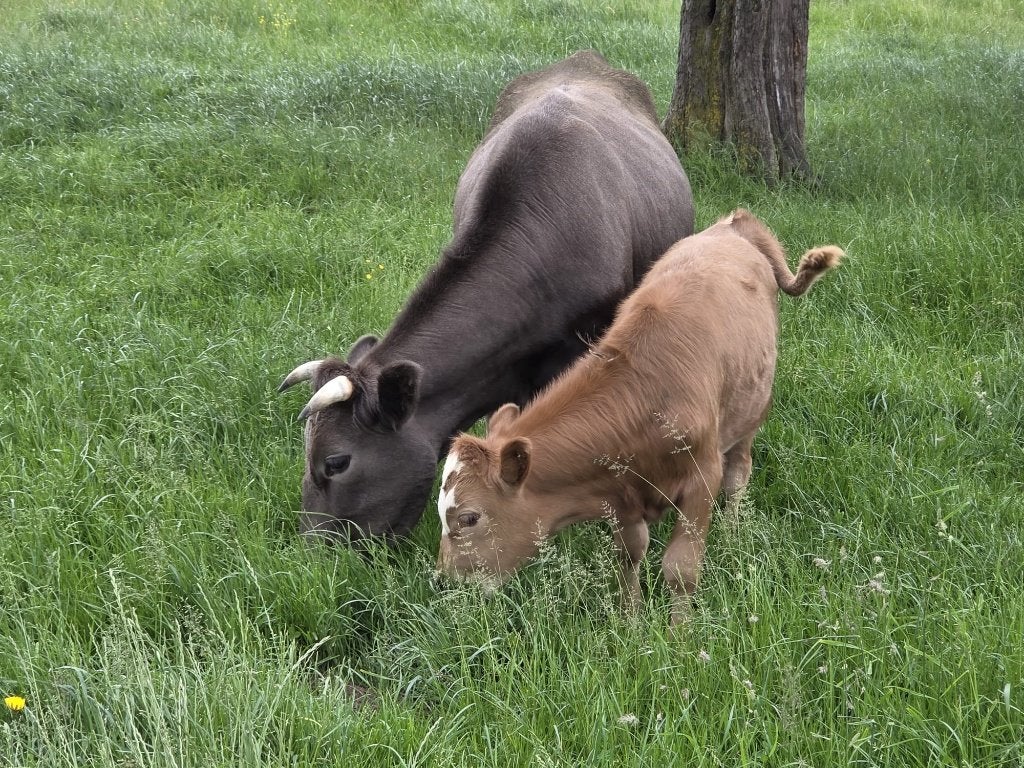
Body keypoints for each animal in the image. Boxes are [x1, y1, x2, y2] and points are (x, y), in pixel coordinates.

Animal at [436, 210, 842, 622]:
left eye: (469, 518)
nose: (445, 581)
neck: (646, 400)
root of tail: (733, 223)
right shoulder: (622, 492)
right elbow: (629, 555)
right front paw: (631, 620)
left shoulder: (702, 477)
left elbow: (681, 568)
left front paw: (680, 630)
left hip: (750, 412)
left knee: (738, 474)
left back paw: (731, 534)